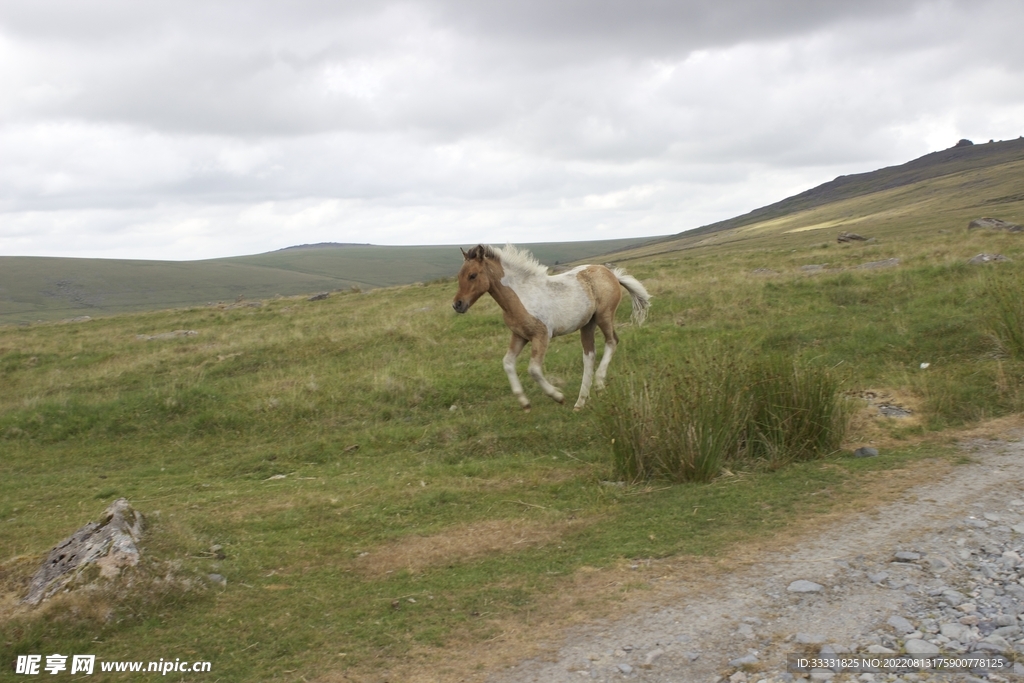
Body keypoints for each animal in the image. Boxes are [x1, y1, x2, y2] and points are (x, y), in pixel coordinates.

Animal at [452, 244, 650, 411]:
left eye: (473, 275)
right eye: (459, 276)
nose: (457, 305)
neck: (521, 295)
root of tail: (611, 273)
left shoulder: (542, 335)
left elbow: (533, 370)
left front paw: (558, 396)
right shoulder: (519, 335)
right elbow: (507, 363)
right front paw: (524, 402)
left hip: (604, 316)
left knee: (612, 342)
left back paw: (599, 385)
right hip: (587, 324)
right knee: (589, 355)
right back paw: (580, 402)